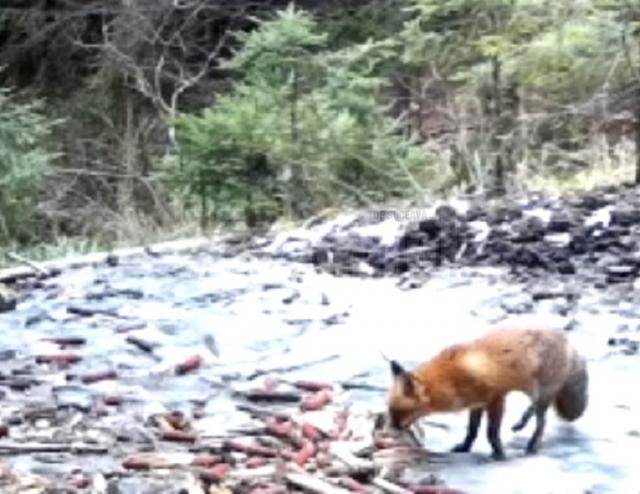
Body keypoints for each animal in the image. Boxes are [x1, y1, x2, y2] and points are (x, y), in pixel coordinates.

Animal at [384, 326, 592, 462]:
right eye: (390, 410)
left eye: (400, 412)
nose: (389, 432)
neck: (452, 378)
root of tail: (570, 343)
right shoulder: (477, 403)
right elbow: (472, 430)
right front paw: (464, 448)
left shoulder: (496, 398)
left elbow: (491, 432)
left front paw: (499, 454)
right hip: (537, 393)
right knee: (534, 411)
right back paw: (521, 423)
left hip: (540, 394)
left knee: (541, 422)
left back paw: (532, 444)